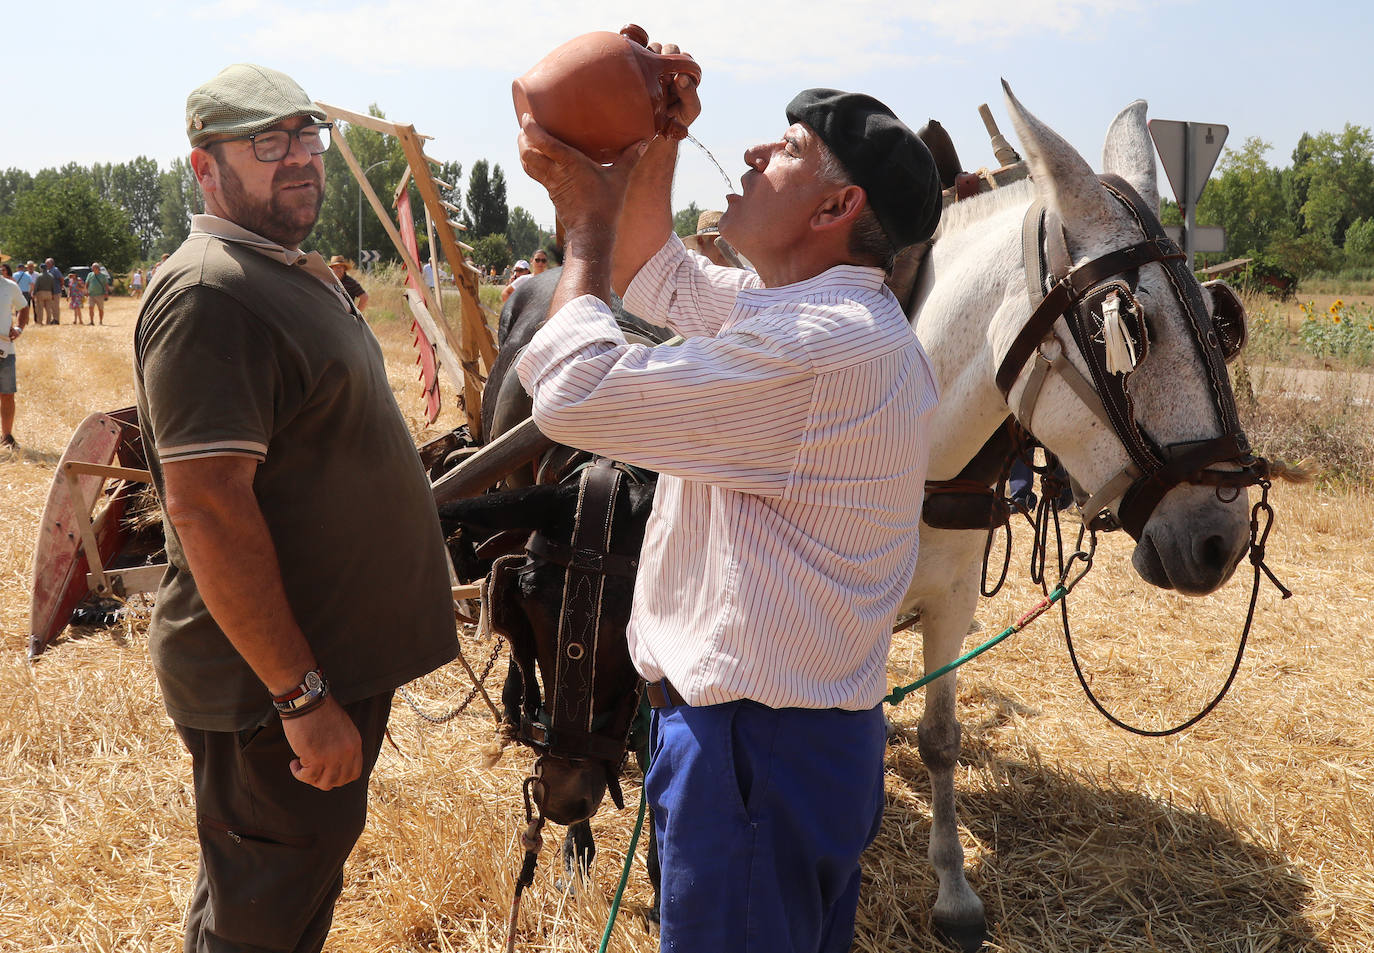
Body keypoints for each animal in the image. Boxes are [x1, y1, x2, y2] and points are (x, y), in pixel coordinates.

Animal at [895, 85, 1258, 950]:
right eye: (1125, 324)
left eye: (1218, 319)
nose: (1220, 539)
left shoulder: (949, 600)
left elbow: (940, 738)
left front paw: (953, 887)